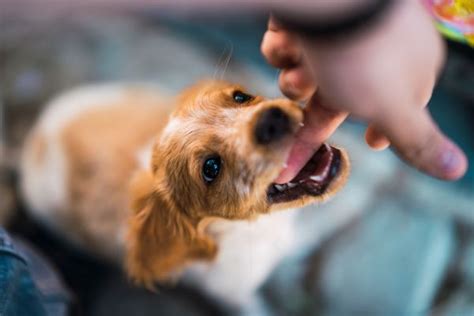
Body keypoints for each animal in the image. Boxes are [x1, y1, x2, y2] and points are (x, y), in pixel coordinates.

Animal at [20, 80, 350, 312]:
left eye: (239, 97)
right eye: (211, 168)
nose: (272, 118)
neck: (249, 229)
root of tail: (37, 133)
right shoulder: (236, 294)